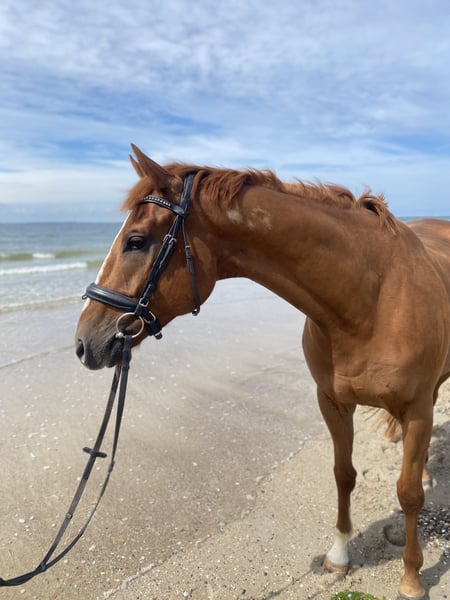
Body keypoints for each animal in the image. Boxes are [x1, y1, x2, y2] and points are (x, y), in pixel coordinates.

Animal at [75, 145, 450, 599]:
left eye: (135, 241)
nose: (84, 341)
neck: (372, 301)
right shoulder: (332, 403)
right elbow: (343, 475)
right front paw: (339, 555)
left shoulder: (417, 409)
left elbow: (409, 494)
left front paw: (411, 578)